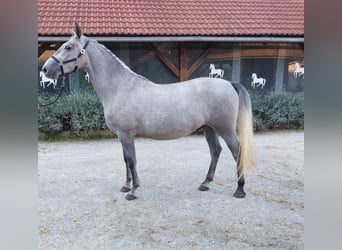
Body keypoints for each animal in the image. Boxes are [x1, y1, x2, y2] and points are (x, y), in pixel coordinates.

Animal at [42, 23, 255, 199]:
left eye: (68, 47)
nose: (45, 69)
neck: (120, 87)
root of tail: (229, 83)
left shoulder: (126, 134)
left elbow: (132, 160)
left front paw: (133, 191)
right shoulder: (121, 135)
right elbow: (126, 160)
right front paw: (126, 186)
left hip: (226, 129)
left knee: (237, 152)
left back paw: (240, 189)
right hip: (208, 127)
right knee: (215, 151)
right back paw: (205, 183)